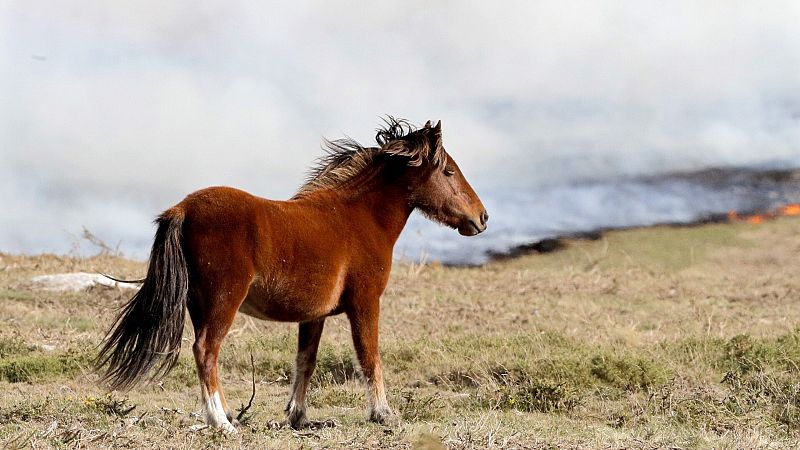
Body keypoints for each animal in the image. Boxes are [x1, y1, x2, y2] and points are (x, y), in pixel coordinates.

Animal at [95, 118, 488, 433]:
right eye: (448, 171)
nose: (482, 217)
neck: (357, 218)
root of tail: (183, 209)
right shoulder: (365, 303)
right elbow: (369, 356)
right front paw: (383, 414)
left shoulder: (313, 316)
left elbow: (305, 362)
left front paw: (298, 417)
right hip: (223, 303)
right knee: (206, 350)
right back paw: (222, 423)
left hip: (197, 305)